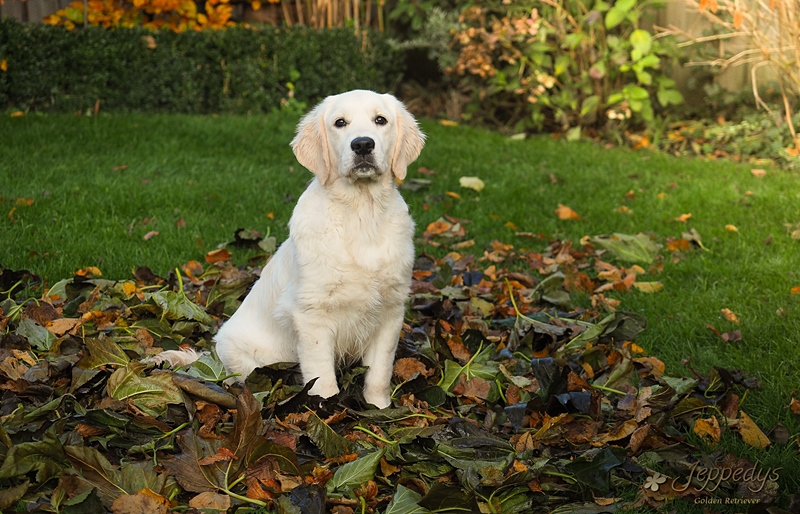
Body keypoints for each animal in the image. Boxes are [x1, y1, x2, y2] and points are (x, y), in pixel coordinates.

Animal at [212, 90, 424, 406]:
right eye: (340, 122)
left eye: (380, 120)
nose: (363, 144)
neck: (361, 213)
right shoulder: (312, 315)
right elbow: (322, 376)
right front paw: (326, 408)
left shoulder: (391, 310)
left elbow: (379, 372)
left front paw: (379, 408)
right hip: (241, 354)